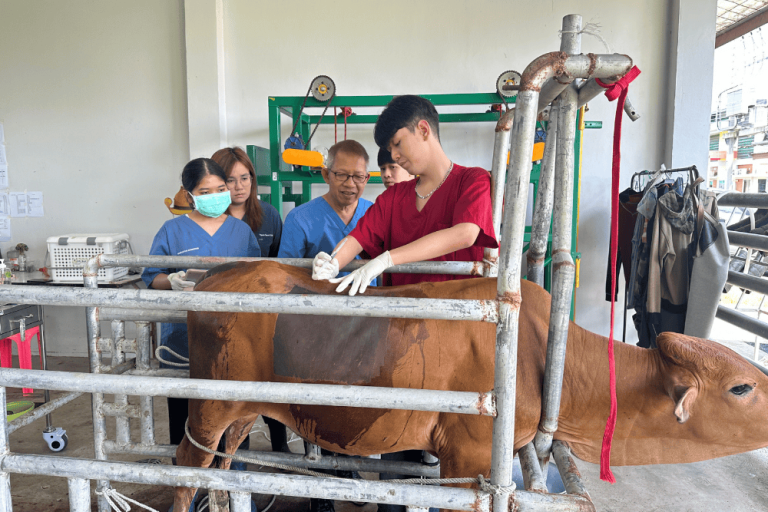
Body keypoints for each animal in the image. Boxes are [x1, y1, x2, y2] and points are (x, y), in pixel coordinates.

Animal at [173, 261, 768, 510]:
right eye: (742, 388)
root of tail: (216, 276)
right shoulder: (468, 456)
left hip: (240, 411)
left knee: (222, 465)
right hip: (207, 406)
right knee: (186, 467)